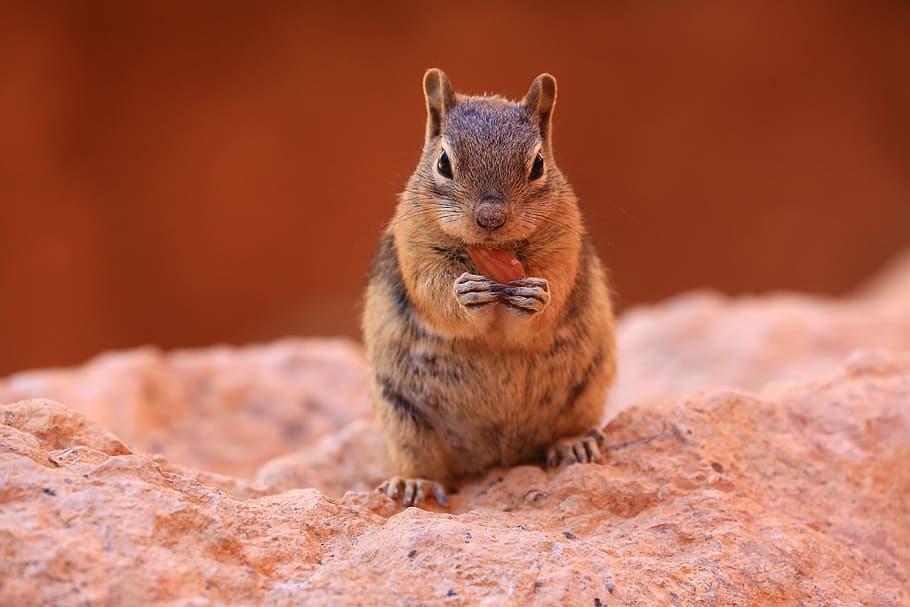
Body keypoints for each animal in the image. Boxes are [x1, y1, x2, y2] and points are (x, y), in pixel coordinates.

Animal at [362, 68, 616, 507]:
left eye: (537, 164)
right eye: (444, 162)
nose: (490, 217)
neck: (493, 256)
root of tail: (498, 457)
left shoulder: (563, 247)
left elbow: (550, 295)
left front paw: (534, 299)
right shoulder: (414, 248)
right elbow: (434, 294)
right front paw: (464, 296)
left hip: (587, 388)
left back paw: (573, 443)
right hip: (401, 417)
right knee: (422, 461)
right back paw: (415, 484)